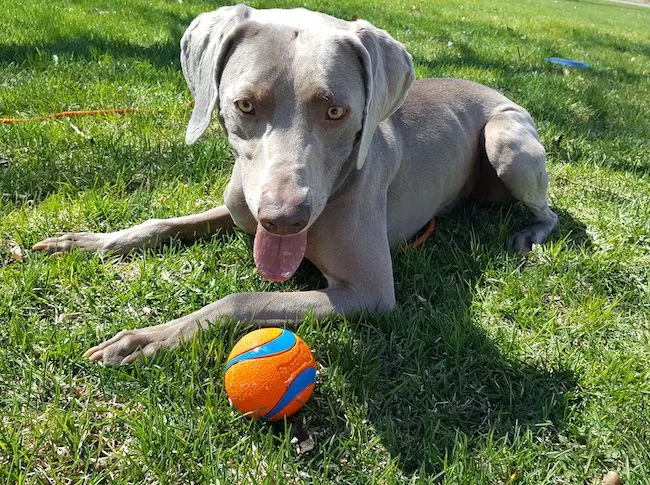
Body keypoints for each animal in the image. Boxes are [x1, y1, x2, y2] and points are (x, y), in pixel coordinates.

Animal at [31, 5, 556, 364]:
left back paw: (528, 235)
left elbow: (243, 298)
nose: (284, 221)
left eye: (336, 110)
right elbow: (162, 223)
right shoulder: (239, 208)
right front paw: (88, 241)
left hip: (505, 140)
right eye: (244, 105)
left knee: (547, 211)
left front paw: (148, 338)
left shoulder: (368, 290)